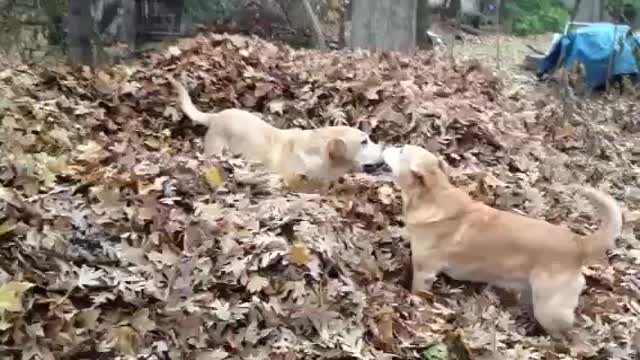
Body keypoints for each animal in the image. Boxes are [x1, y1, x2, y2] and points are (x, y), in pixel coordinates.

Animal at [382, 143, 624, 338]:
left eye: (401, 151)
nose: (385, 145)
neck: (433, 197)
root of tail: (578, 244)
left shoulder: (424, 272)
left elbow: (417, 292)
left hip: (549, 309)